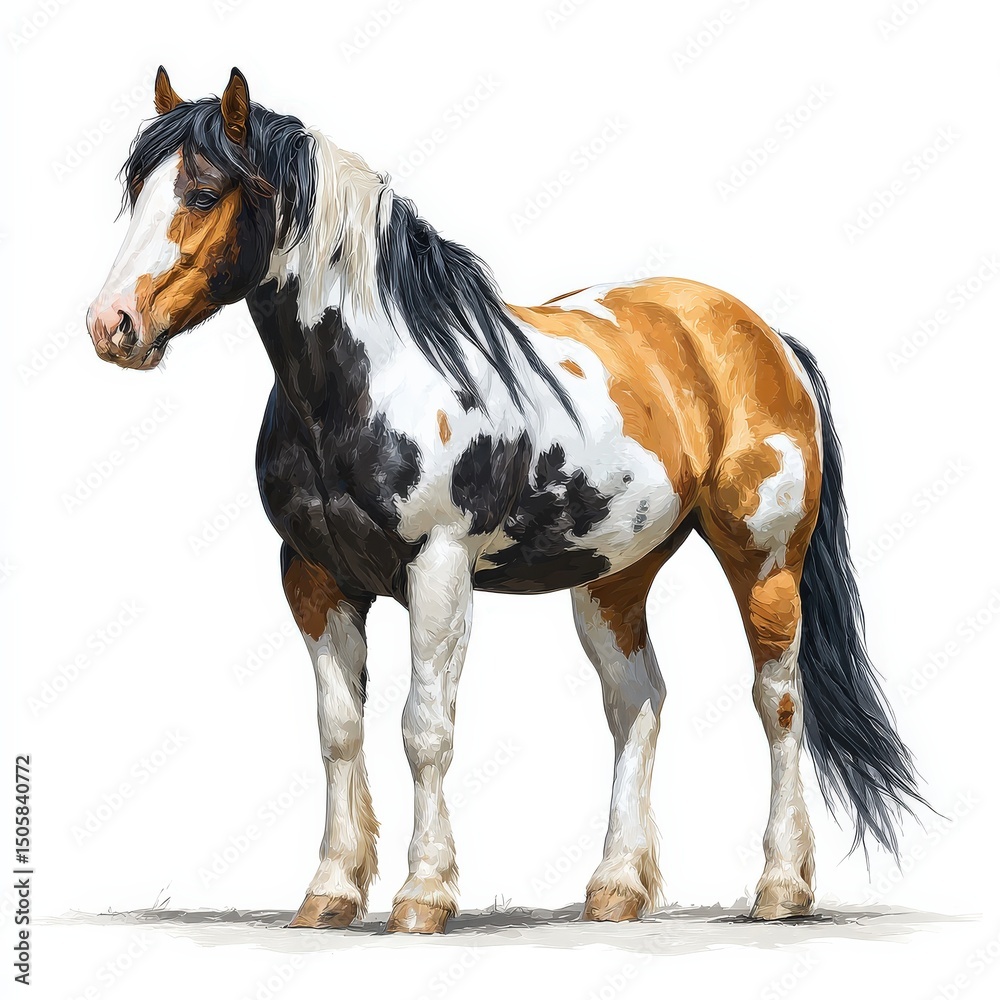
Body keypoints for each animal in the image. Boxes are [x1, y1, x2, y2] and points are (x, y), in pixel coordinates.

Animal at [86, 67, 923, 934]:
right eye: (135, 190)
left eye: (203, 191)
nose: (112, 325)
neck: (373, 380)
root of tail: (764, 337)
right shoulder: (314, 578)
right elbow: (339, 733)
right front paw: (330, 891)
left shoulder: (439, 567)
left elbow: (424, 730)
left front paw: (422, 895)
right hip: (613, 576)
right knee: (638, 703)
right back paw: (616, 889)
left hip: (764, 561)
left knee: (778, 703)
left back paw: (781, 887)